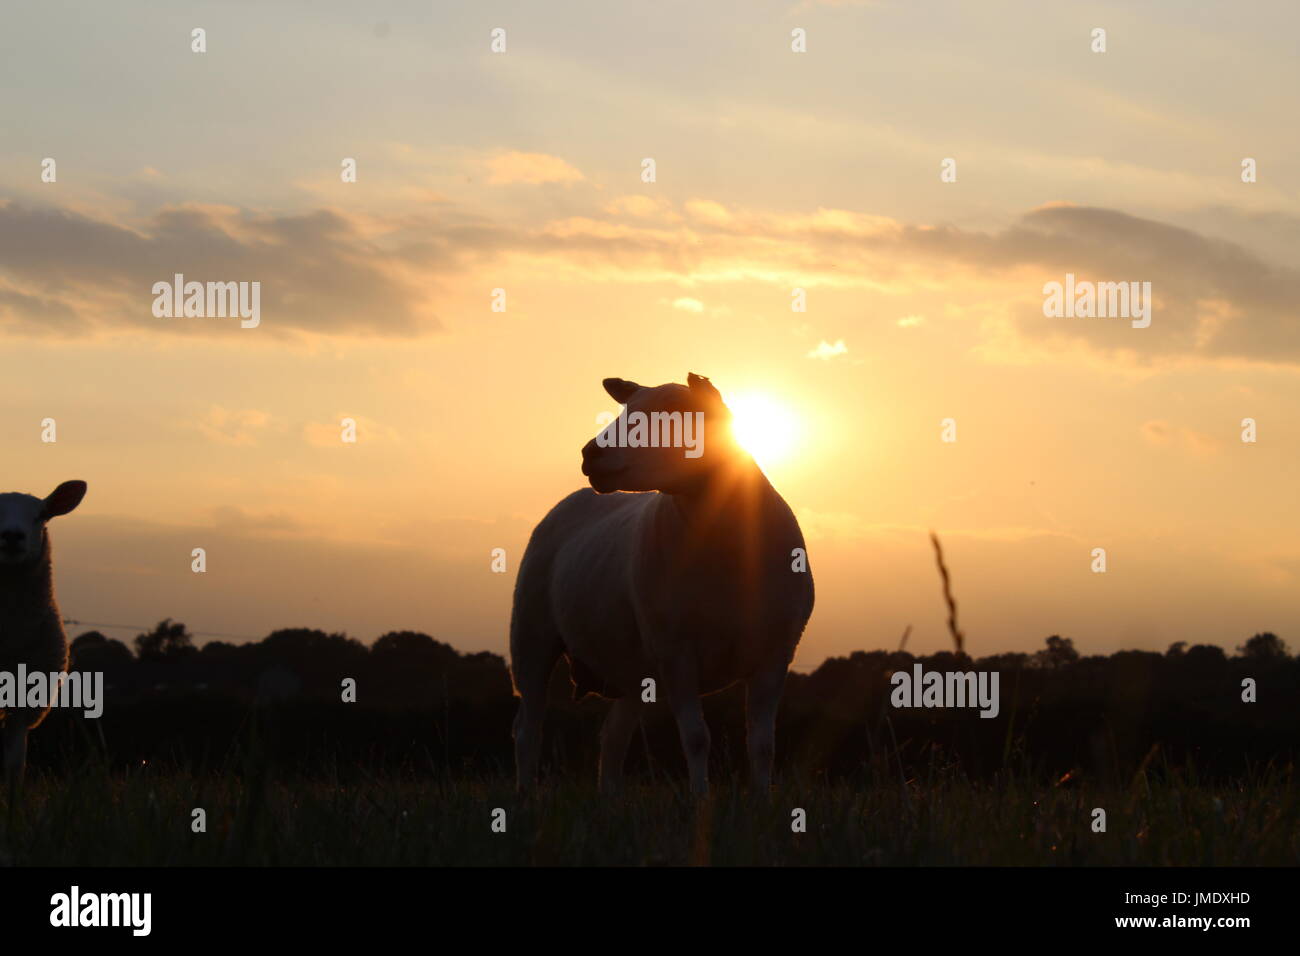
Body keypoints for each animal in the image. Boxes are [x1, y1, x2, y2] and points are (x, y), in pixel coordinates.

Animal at [506, 377, 811, 796]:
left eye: (672, 416)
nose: (590, 454)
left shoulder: (776, 653)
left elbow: (763, 743)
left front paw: (762, 799)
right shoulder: (675, 652)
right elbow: (696, 738)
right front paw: (700, 799)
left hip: (631, 668)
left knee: (612, 738)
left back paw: (609, 800)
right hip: (531, 636)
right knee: (527, 729)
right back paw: (525, 795)